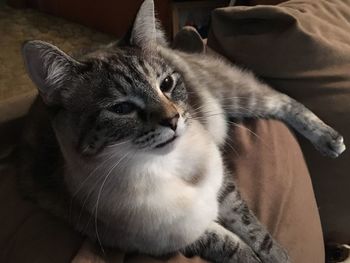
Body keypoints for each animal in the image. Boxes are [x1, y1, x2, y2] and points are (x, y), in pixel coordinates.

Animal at [17, 1, 346, 262]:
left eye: (166, 84)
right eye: (121, 108)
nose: (173, 120)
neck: (167, 167)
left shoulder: (224, 187)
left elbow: (254, 231)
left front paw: (279, 256)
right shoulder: (180, 235)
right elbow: (233, 248)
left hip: (232, 97)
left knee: (282, 98)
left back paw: (330, 141)